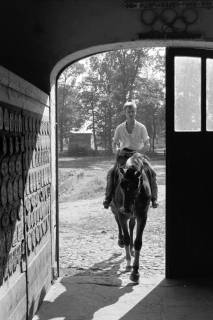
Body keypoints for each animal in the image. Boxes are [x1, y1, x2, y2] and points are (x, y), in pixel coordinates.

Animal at [110, 151, 151, 282]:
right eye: (122, 185)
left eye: (136, 185)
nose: (126, 208)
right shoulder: (122, 215)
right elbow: (127, 237)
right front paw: (128, 264)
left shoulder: (142, 216)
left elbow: (138, 242)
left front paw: (135, 272)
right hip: (115, 209)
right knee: (118, 222)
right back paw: (121, 241)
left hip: (133, 215)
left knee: (132, 226)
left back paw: (131, 249)